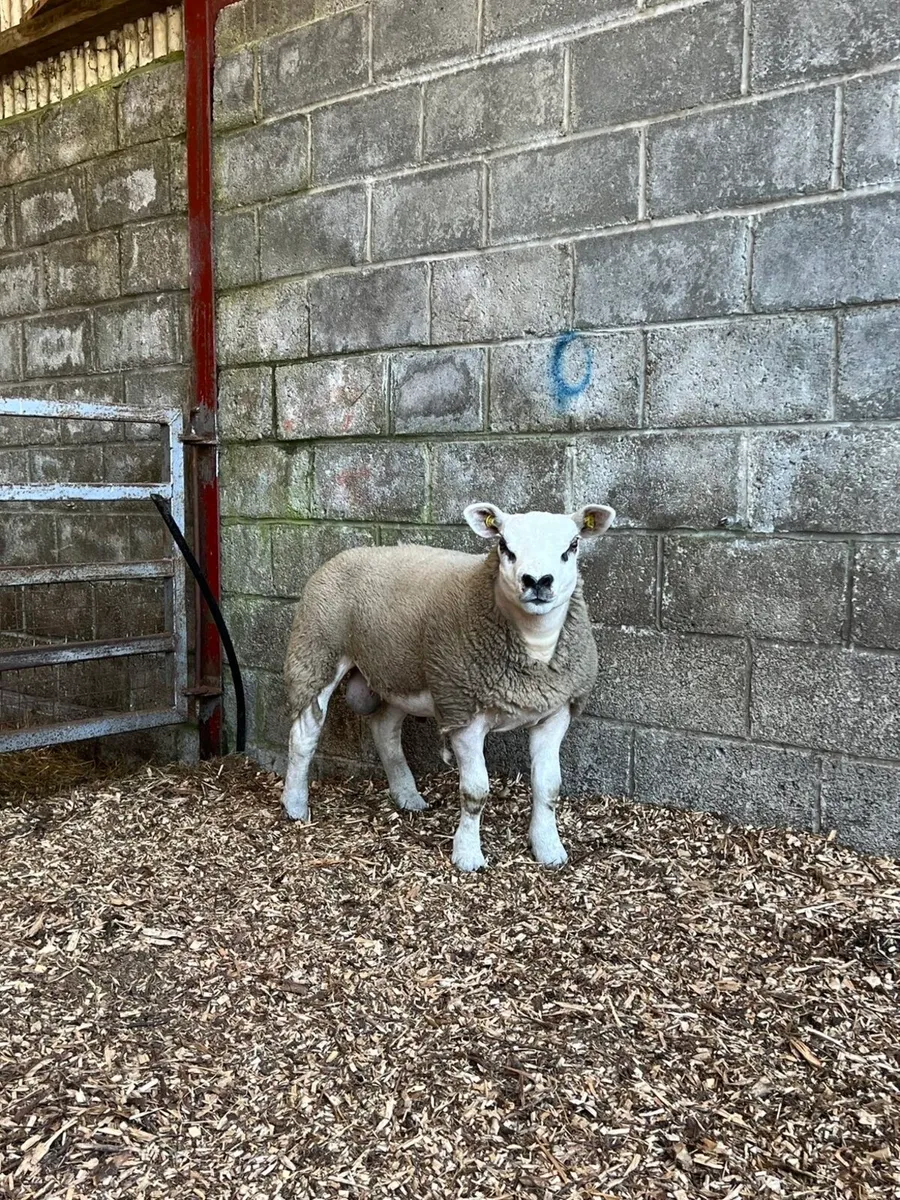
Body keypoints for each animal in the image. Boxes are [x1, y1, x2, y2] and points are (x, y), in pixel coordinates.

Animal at [282, 501, 615, 871]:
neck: (534, 646)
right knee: (304, 736)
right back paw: (295, 805)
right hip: (315, 651)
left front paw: (549, 849)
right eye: (504, 546)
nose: (537, 581)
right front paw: (468, 855)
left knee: (384, 729)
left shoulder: (555, 713)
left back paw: (407, 795)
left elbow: (548, 786)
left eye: (572, 546)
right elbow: (475, 791)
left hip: (400, 672)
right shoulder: (463, 713)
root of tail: (348, 553)